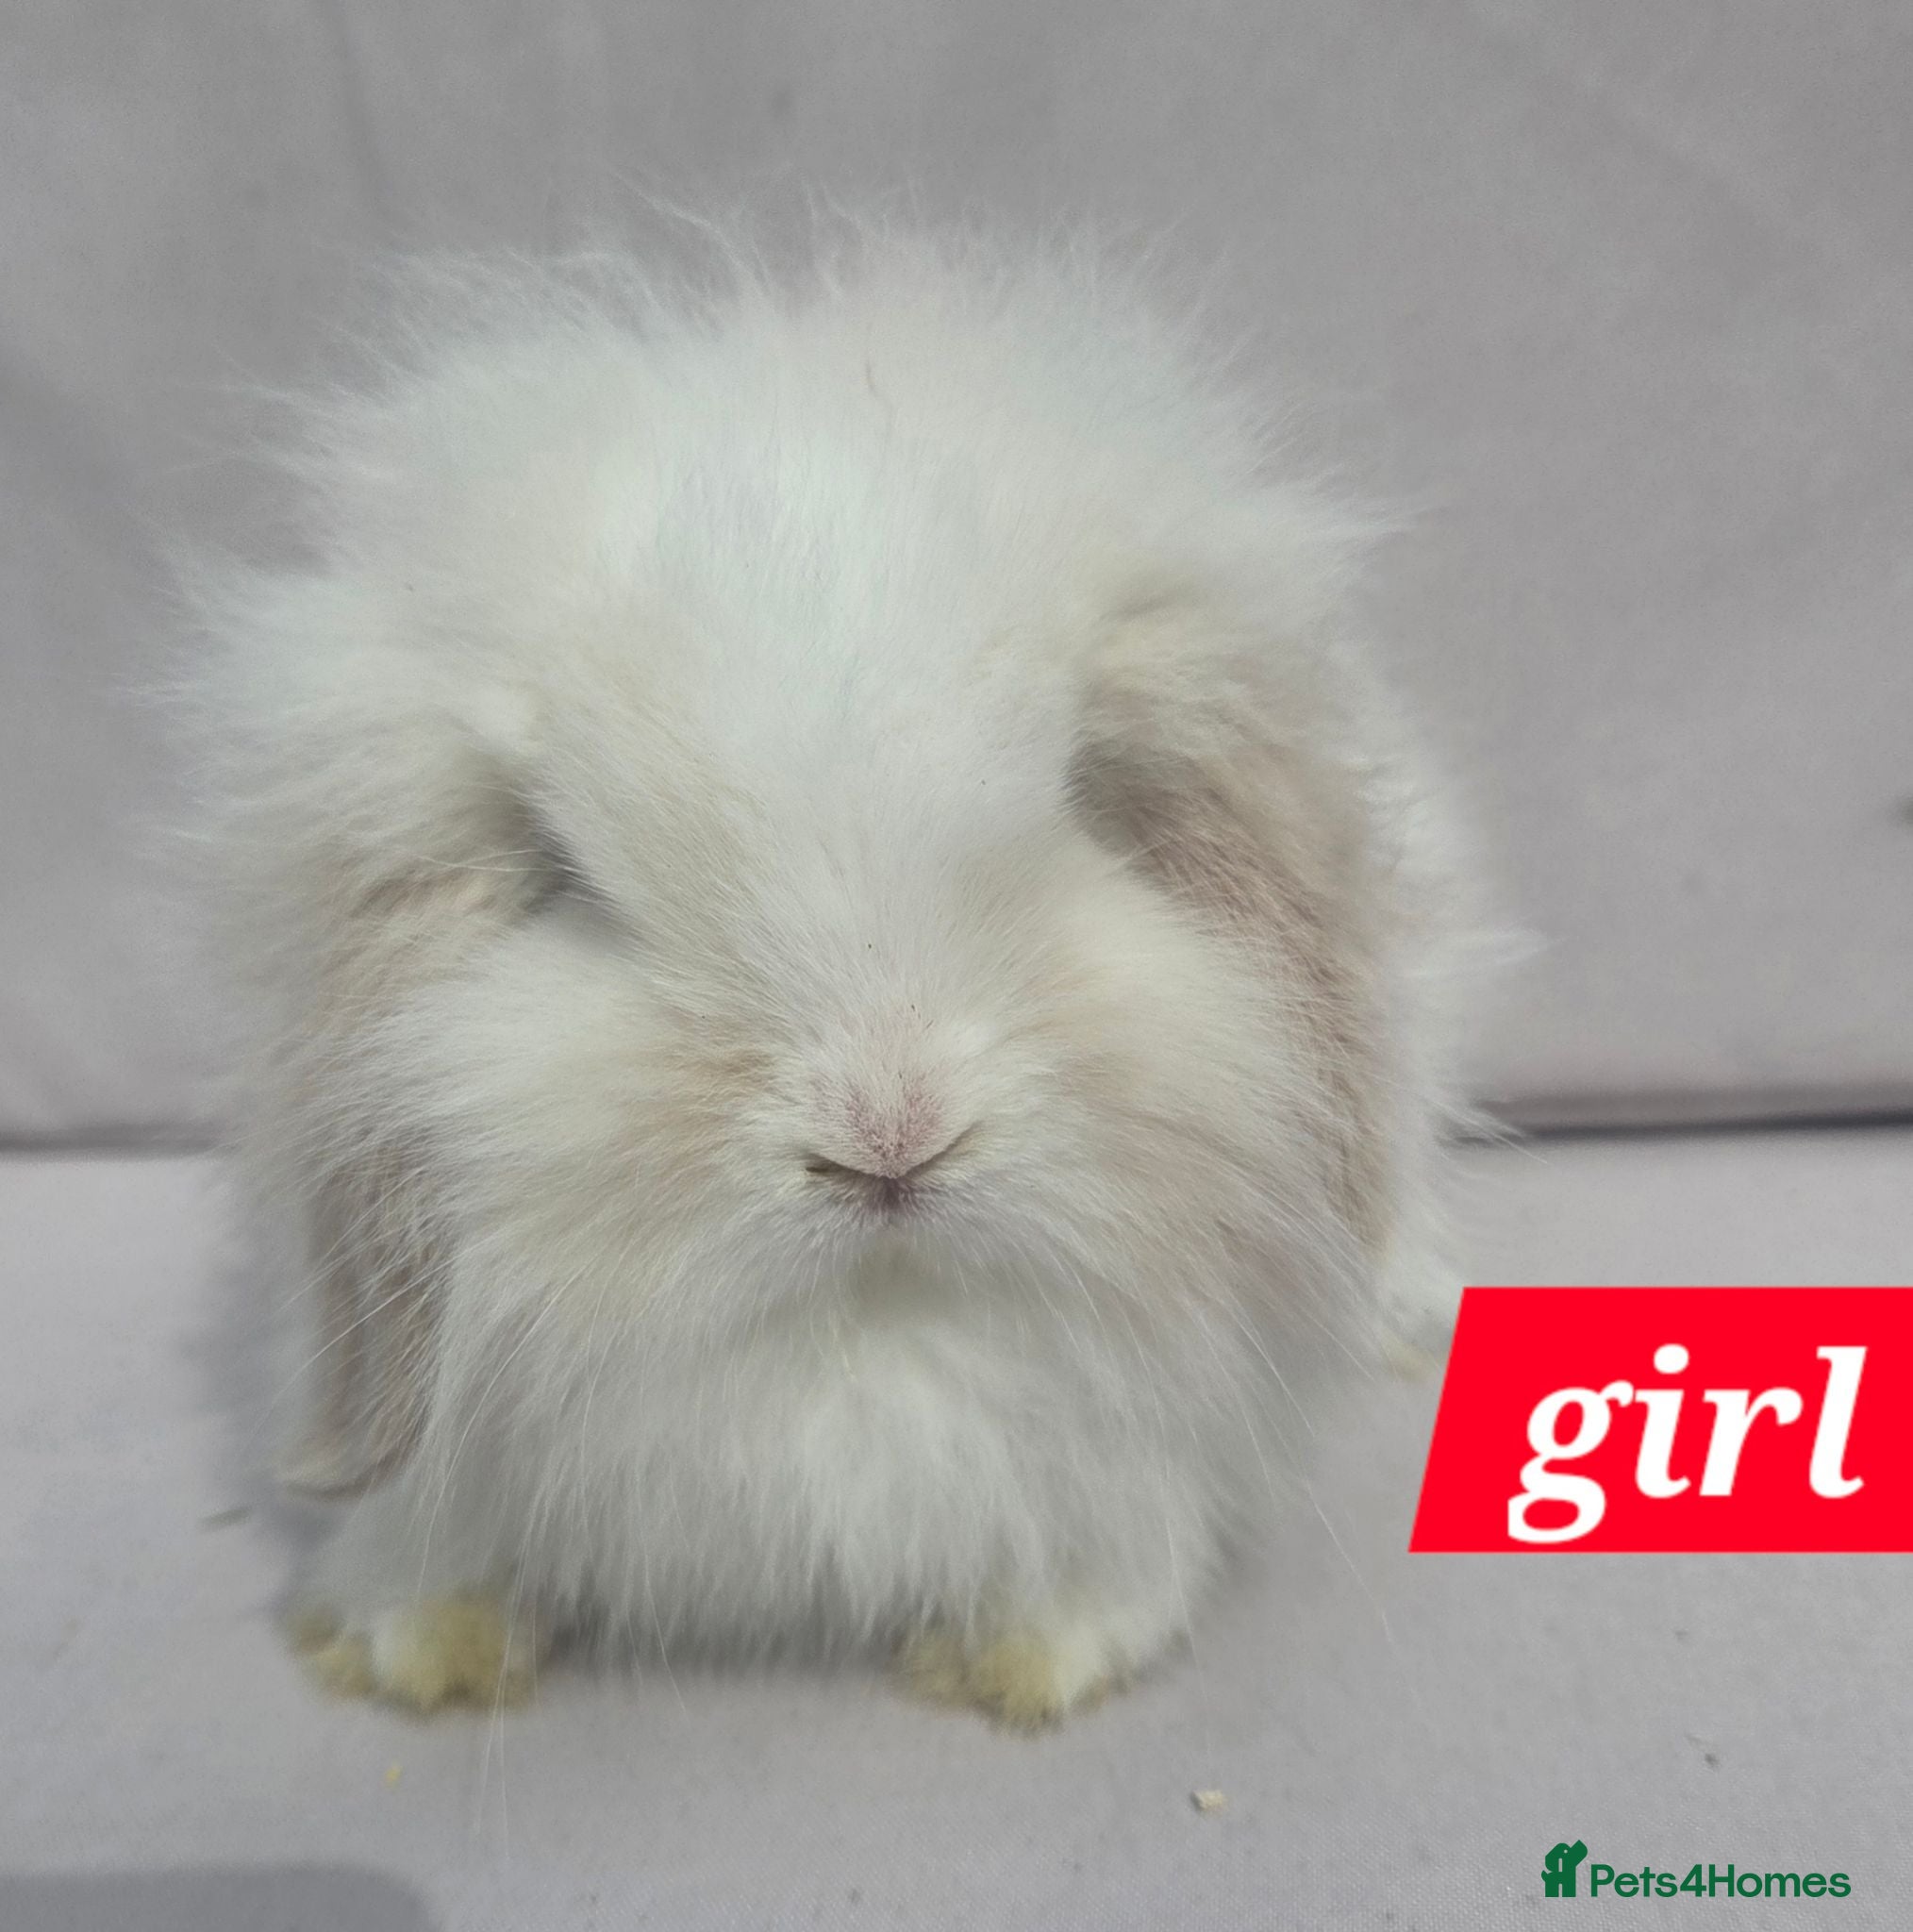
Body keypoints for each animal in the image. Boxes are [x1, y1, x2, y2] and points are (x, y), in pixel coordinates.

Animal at [181, 222, 1484, 1727]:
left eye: (1080, 802)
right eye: (563, 874)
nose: (888, 1134)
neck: (858, 1338)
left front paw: (1034, 1659)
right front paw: (416, 1646)